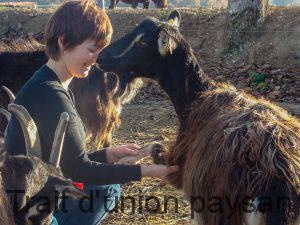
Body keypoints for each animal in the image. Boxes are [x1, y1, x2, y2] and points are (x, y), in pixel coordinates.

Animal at [98, 10, 300, 225]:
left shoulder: (182, 169)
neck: (197, 97)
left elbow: (154, 146)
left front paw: (125, 158)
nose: (101, 57)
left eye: (142, 42)